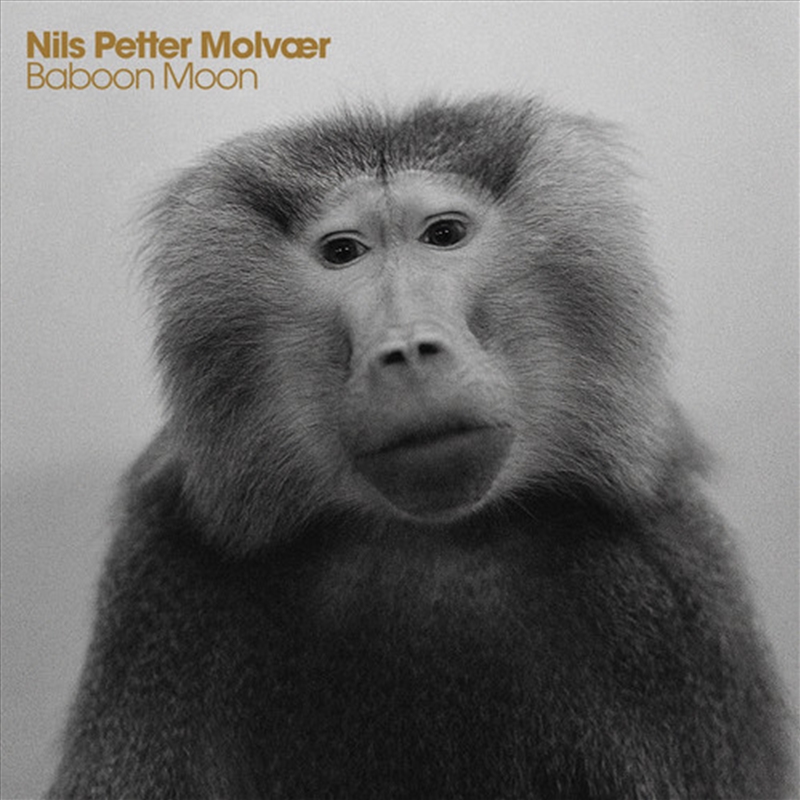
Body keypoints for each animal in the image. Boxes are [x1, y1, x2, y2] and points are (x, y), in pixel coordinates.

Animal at [47, 95, 796, 799]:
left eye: (444, 235)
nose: (407, 349)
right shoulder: (163, 584)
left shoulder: (664, 587)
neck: (430, 539)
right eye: (342, 252)